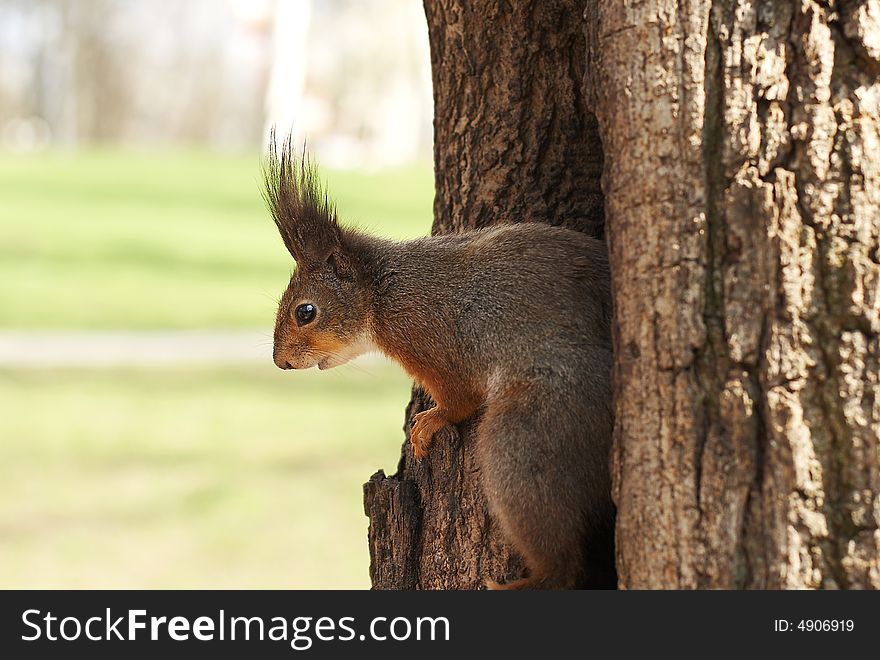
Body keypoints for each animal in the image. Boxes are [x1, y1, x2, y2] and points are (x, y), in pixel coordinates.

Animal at [264, 137, 616, 592]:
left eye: (305, 312)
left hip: (527, 438)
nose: (280, 361)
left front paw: (431, 421)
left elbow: (461, 399)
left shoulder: (429, 338)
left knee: (564, 563)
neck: (384, 292)